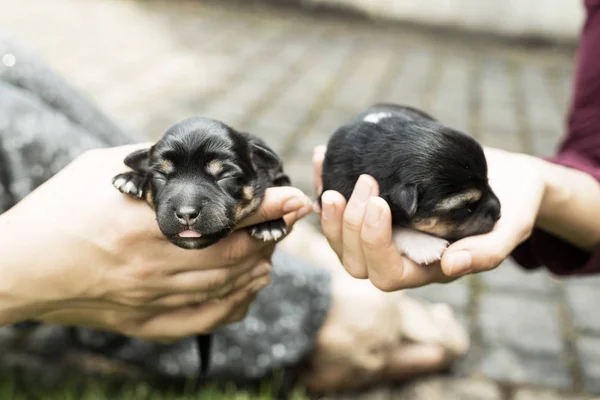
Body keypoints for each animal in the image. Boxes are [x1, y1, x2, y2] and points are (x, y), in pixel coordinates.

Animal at [112, 115, 292, 376]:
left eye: (224, 176)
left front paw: (269, 223)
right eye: (161, 176)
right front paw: (133, 178)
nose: (186, 213)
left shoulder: (281, 175)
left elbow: (277, 184)